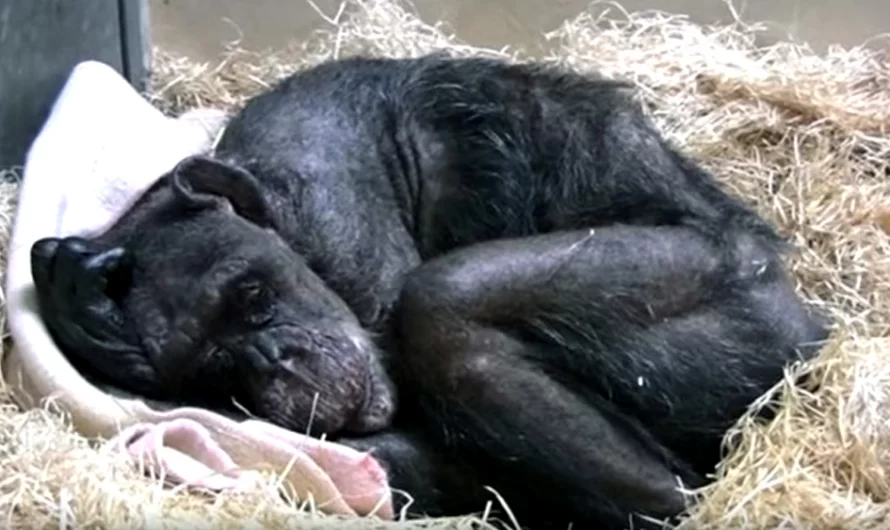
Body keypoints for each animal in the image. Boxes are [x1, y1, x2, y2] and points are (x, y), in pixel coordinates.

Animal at [33, 54, 824, 528]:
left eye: (252, 298)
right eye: (211, 370)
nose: (274, 362)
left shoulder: (340, 219)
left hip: (737, 310)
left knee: (444, 304)